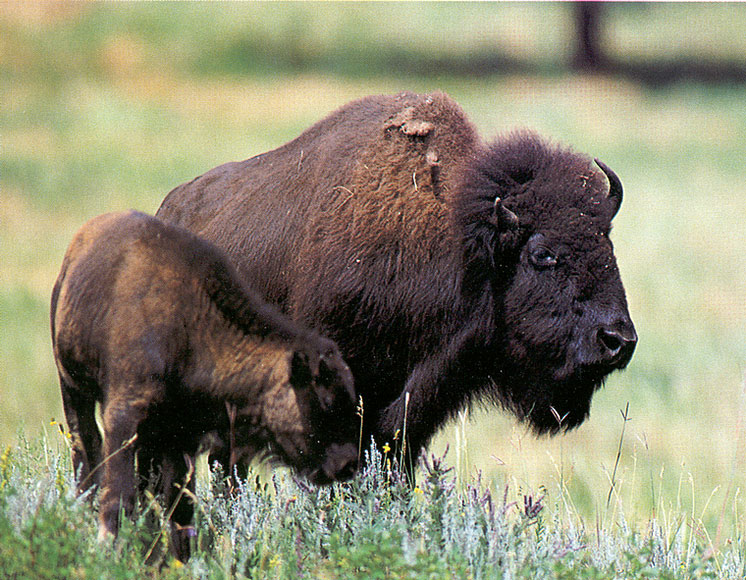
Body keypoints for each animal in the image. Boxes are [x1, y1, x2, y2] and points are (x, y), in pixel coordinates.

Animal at [51, 210, 358, 559]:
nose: (348, 464)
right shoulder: (124, 418)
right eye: (324, 400)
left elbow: (180, 508)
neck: (192, 326)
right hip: (73, 390)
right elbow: (119, 497)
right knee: (85, 450)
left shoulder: (179, 438)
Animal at [156, 91, 637, 466]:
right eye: (542, 254)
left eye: (607, 244)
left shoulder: (414, 407)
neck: (460, 251)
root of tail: (169, 210)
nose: (619, 340)